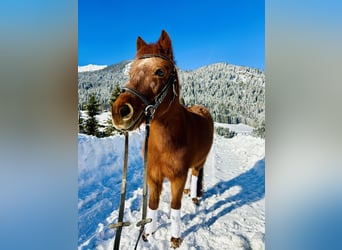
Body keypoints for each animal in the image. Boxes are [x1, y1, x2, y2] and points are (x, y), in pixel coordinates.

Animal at [112, 30, 214, 248]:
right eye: (130, 72)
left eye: (160, 72)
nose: (120, 111)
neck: (165, 144)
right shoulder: (153, 176)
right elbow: (152, 205)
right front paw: (148, 233)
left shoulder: (177, 177)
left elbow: (175, 206)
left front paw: (175, 238)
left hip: (200, 162)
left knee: (194, 175)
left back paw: (194, 197)